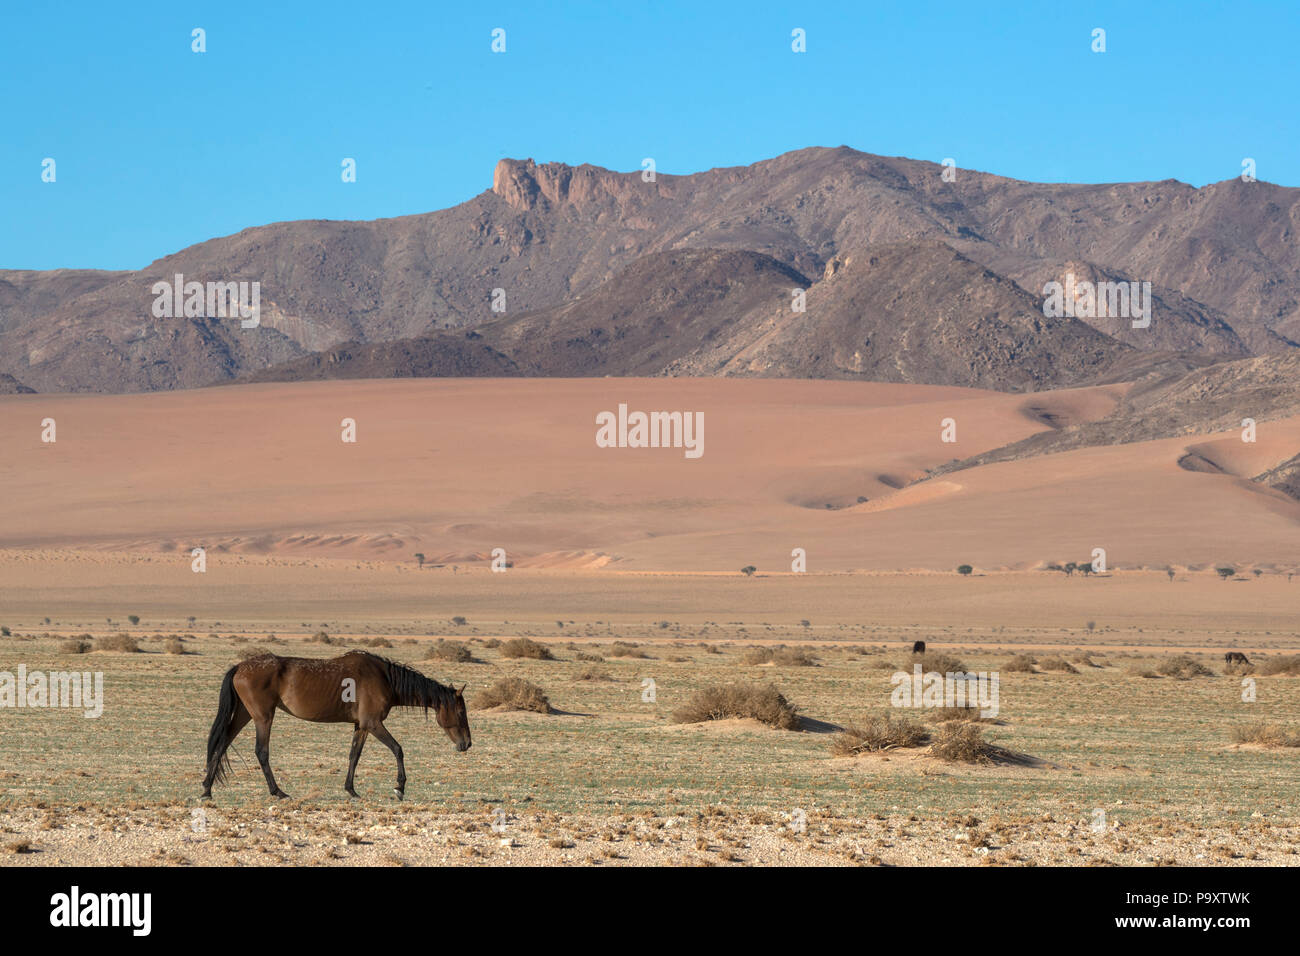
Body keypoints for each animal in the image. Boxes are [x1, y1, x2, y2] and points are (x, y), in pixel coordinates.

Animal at [200, 650, 470, 801]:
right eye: (460, 711)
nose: (466, 744)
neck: (385, 678)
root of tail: (240, 666)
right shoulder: (373, 723)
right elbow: (398, 749)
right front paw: (399, 787)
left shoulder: (361, 725)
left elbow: (354, 756)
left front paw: (351, 790)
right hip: (263, 716)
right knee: (261, 751)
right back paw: (278, 792)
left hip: (244, 714)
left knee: (222, 743)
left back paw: (206, 790)